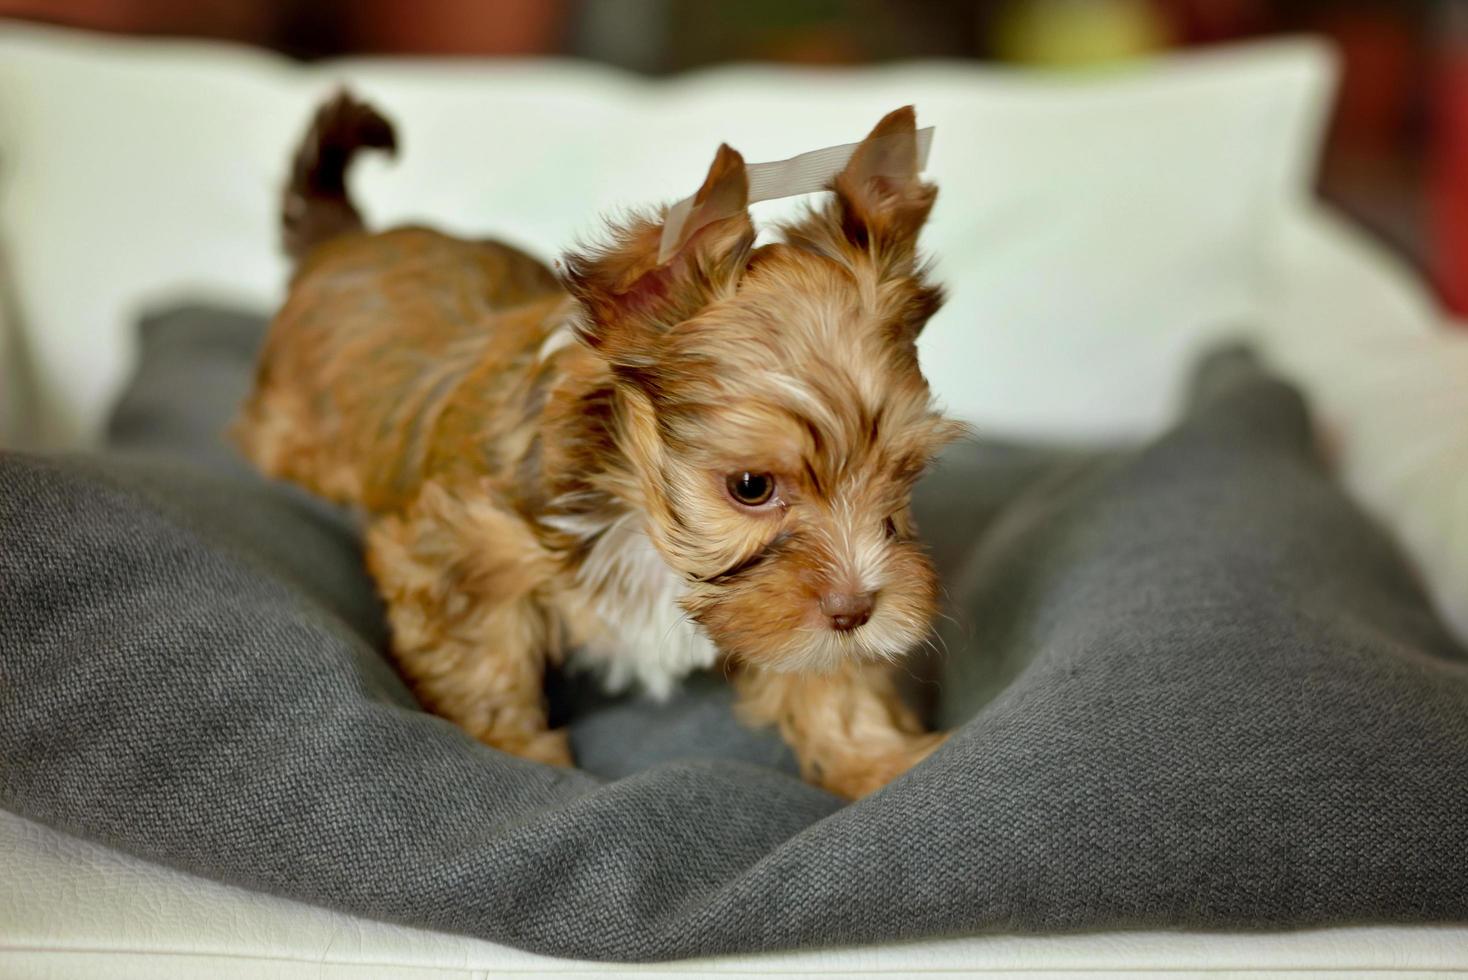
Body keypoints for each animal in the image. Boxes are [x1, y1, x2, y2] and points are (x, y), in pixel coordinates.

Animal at [234, 89, 957, 798]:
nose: (857, 609)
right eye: (751, 487)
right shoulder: (461, 548)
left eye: (904, 476)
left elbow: (829, 675)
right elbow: (479, 652)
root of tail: (347, 243)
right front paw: (513, 751)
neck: (633, 506)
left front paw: (878, 757)